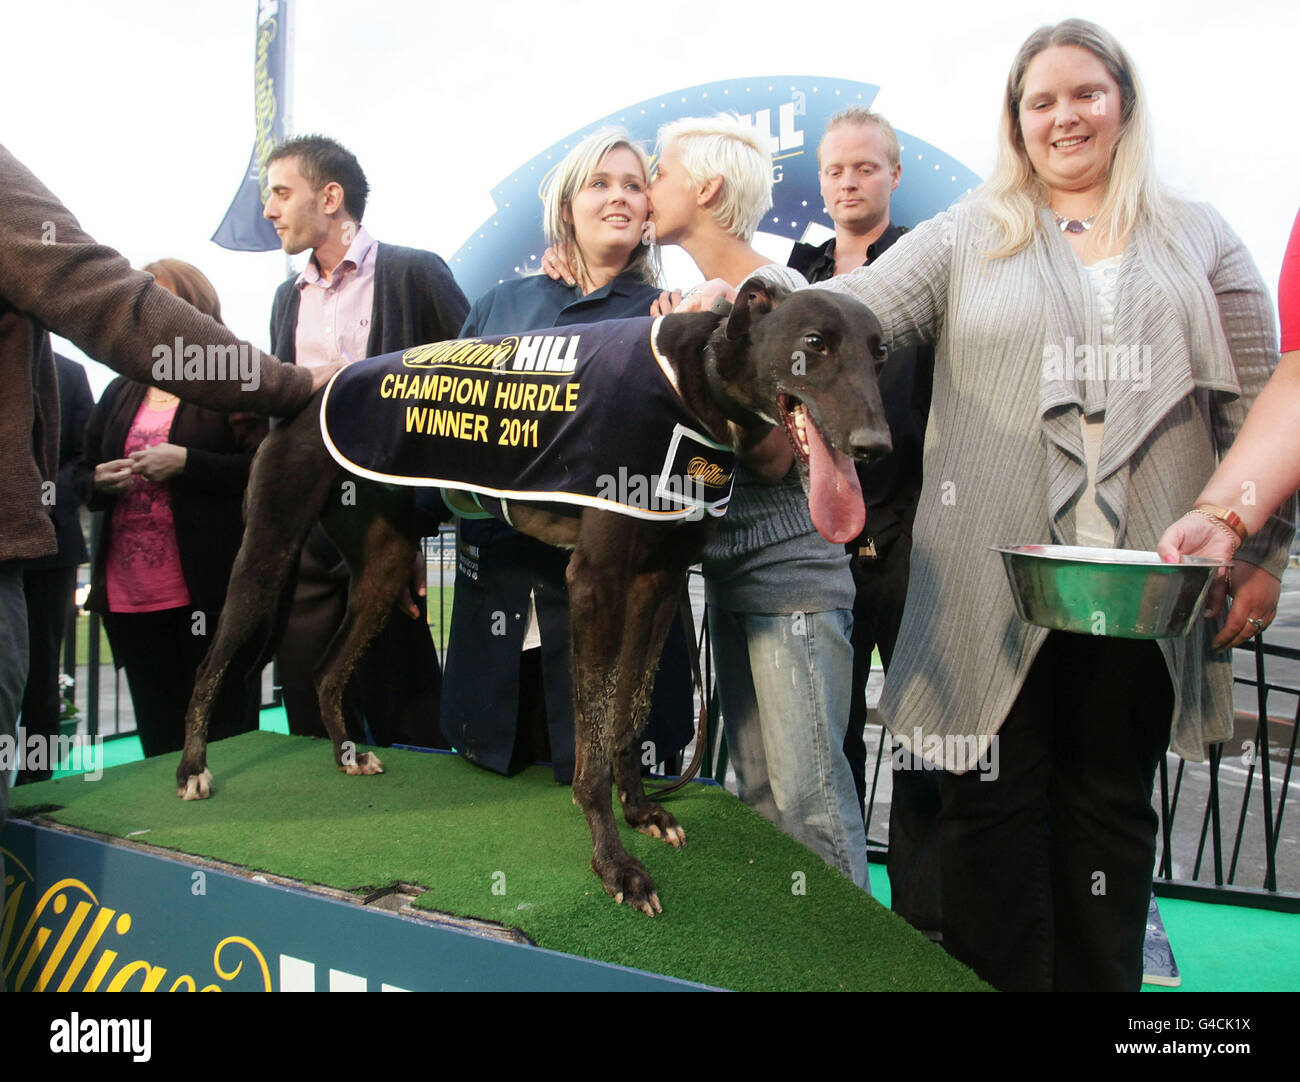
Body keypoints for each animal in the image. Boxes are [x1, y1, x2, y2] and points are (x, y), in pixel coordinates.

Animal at [175, 277, 894, 915]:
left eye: (880, 351)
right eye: (814, 342)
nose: (875, 447)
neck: (694, 385)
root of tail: (311, 388)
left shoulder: (659, 584)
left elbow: (629, 716)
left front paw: (642, 812)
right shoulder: (596, 582)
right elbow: (594, 741)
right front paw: (615, 865)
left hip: (382, 568)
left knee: (328, 669)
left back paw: (345, 755)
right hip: (267, 552)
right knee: (209, 663)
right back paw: (191, 768)